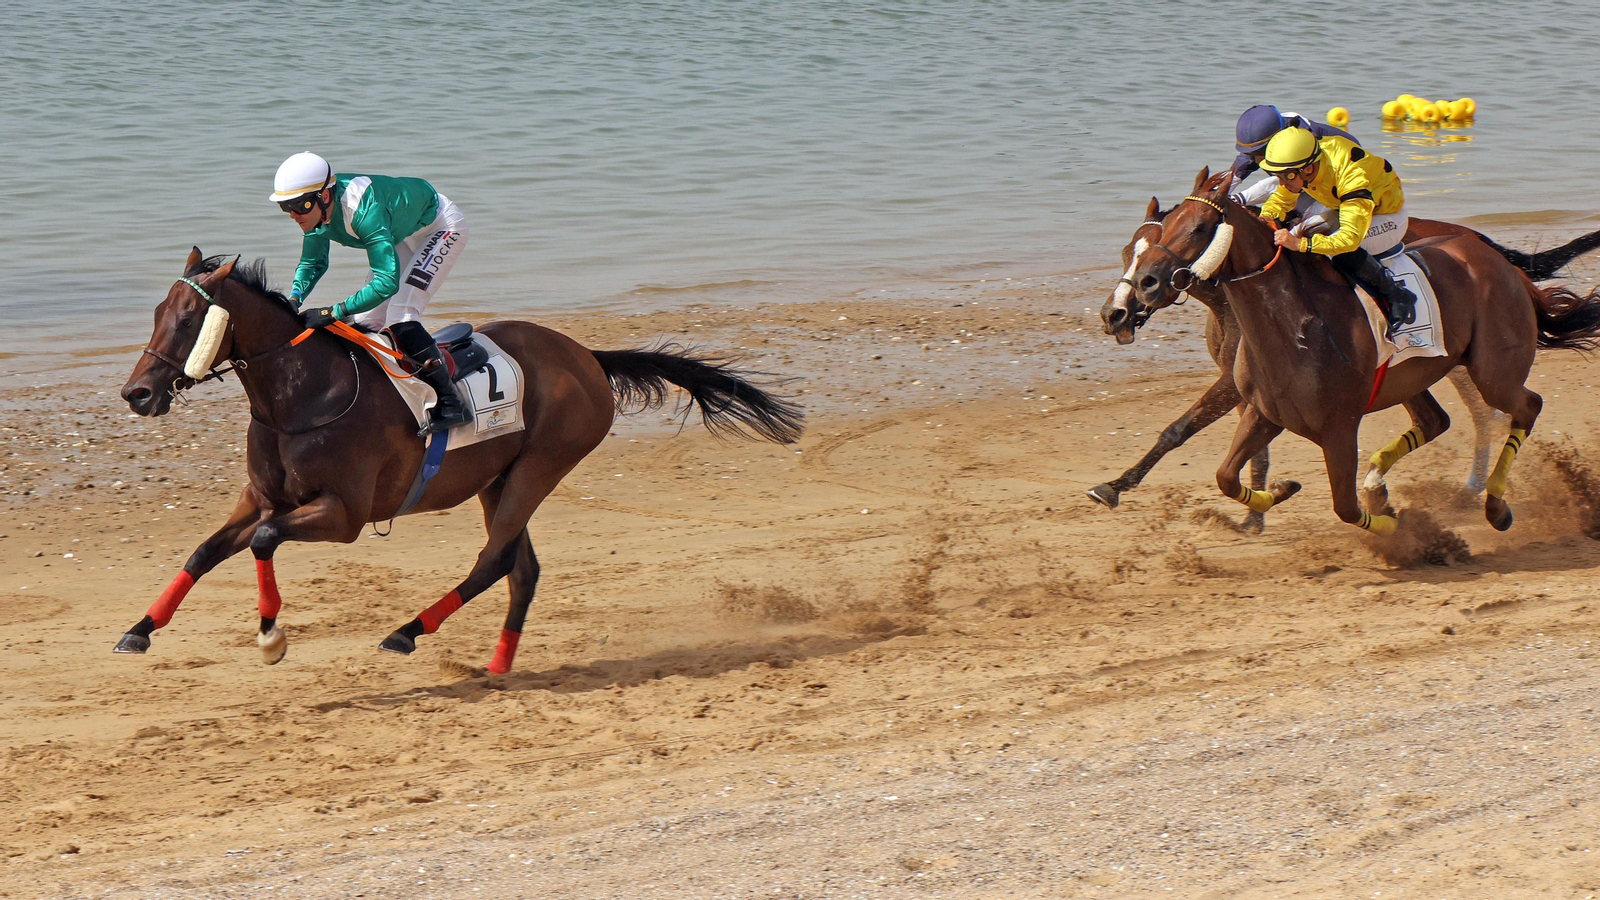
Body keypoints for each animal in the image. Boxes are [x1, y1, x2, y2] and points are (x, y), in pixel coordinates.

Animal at [116, 248, 803, 672]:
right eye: (157, 312)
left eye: (190, 318)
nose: (138, 393)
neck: (304, 394)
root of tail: (587, 356)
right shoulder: (262, 497)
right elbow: (205, 550)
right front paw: (141, 629)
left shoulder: (343, 516)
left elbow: (262, 541)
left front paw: (270, 636)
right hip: (496, 480)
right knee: (522, 568)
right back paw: (498, 664)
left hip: (540, 467)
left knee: (494, 561)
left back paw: (407, 631)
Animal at [1107, 169, 1600, 536]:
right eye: (1129, 249)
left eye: (1198, 228)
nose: (1118, 310)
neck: (1289, 324)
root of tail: (1499, 261)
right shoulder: (1263, 409)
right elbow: (1227, 472)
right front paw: (1269, 500)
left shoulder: (1336, 425)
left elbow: (1342, 506)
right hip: (1418, 374)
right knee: (1437, 421)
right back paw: (1384, 484)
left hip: (1490, 370)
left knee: (1516, 408)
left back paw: (1487, 501)